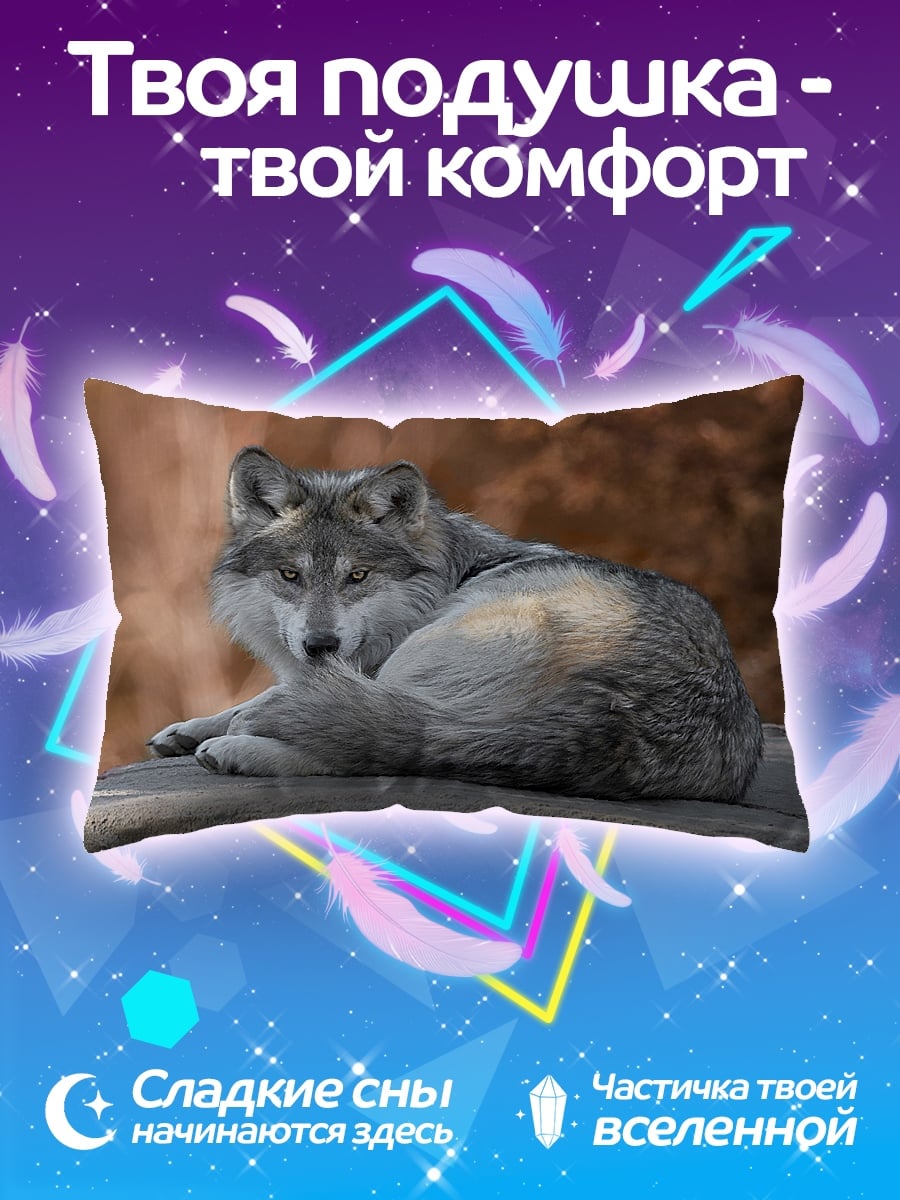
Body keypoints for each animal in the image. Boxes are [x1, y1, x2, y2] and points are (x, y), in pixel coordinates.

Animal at [148, 446, 764, 802]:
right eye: (289, 575)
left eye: (358, 575)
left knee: (380, 750)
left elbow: (271, 703)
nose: (320, 645)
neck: (450, 574)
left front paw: (227, 728)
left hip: (433, 659)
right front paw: (186, 728)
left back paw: (238, 751)